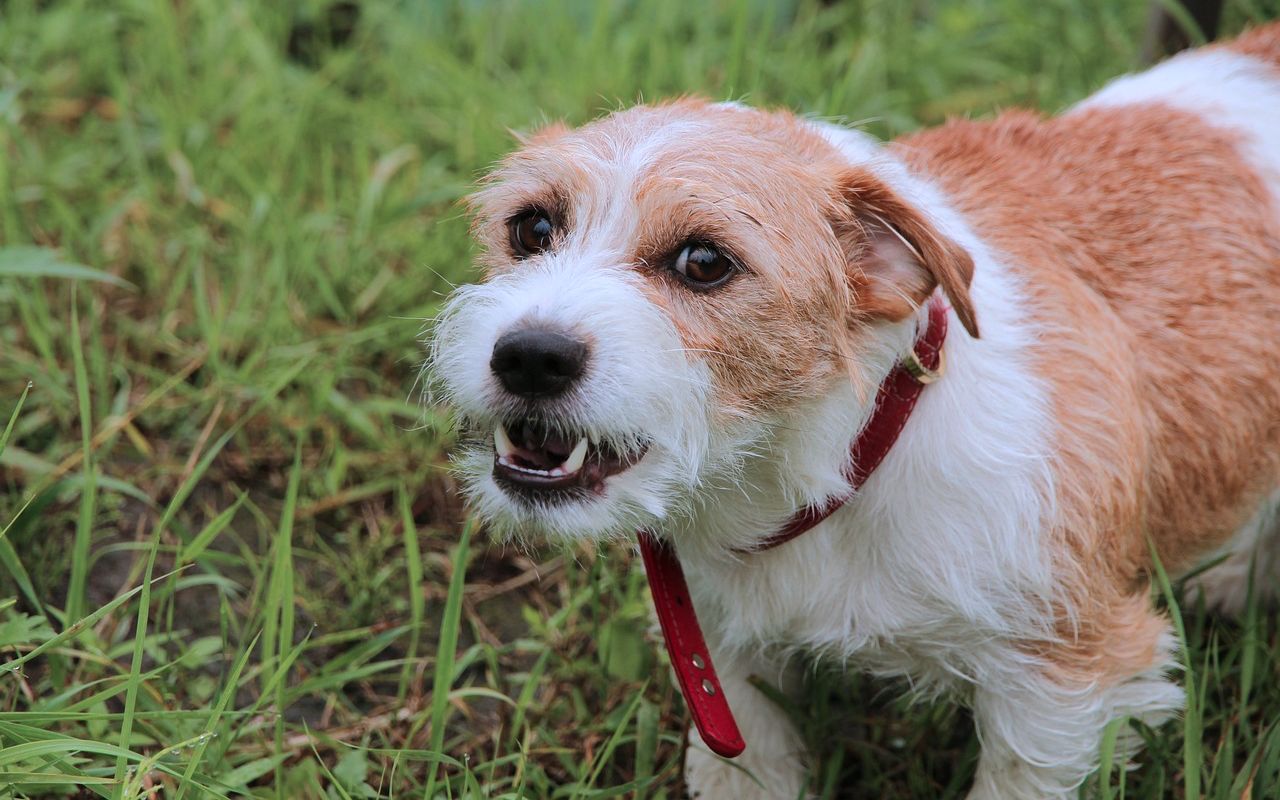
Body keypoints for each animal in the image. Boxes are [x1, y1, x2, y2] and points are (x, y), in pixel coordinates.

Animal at [430, 23, 1280, 798]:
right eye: (533, 226)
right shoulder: (725, 661)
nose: (528, 356)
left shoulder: (1065, 680)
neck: (840, 464)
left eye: (704, 262)